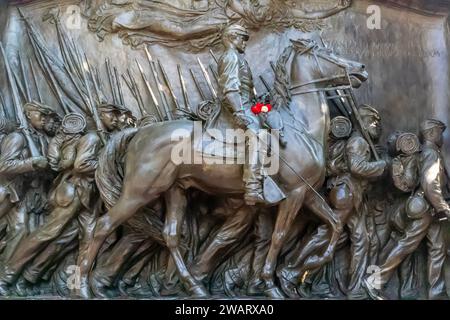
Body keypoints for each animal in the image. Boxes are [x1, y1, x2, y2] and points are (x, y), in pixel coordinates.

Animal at [78, 38, 370, 298]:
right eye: (327, 53)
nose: (362, 69)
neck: (299, 126)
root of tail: (138, 132)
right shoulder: (295, 193)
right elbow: (279, 236)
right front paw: (271, 284)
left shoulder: (308, 192)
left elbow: (334, 225)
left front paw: (305, 269)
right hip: (140, 191)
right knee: (102, 226)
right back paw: (84, 286)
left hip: (175, 190)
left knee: (170, 235)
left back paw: (193, 286)